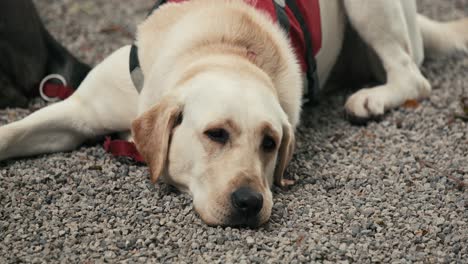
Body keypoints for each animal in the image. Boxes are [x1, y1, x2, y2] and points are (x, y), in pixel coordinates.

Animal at [0, 0, 468, 227]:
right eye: (216, 134)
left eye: (270, 142)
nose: (249, 202)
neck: (223, 47)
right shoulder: (79, 109)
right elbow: (14, 132)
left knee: (412, 76)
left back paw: (371, 99)